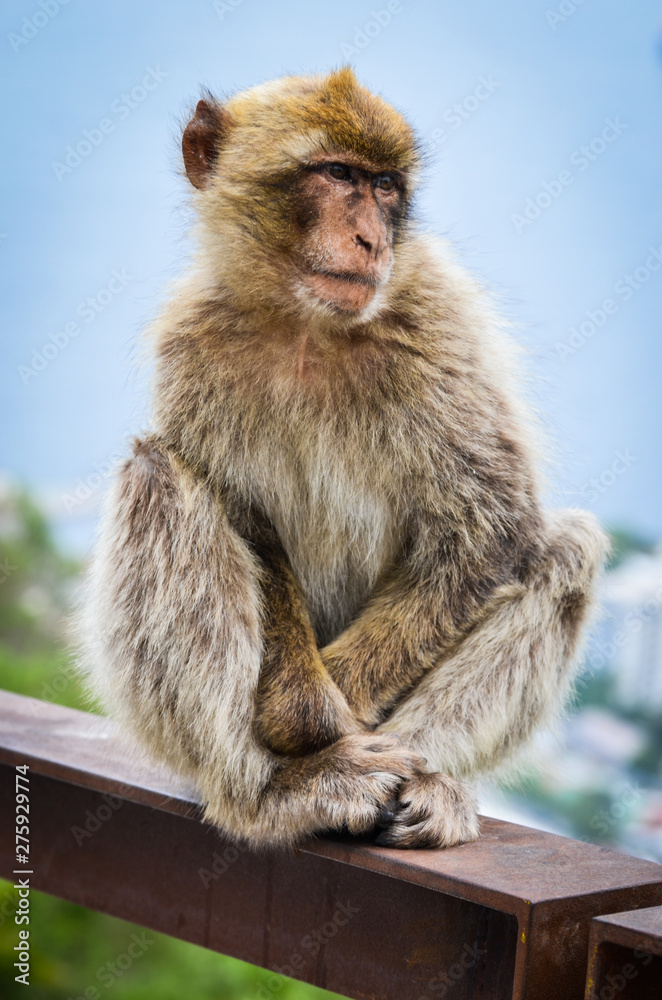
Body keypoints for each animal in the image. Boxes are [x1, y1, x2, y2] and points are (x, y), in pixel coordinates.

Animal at [77, 68, 608, 850]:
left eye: (385, 187)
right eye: (336, 175)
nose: (370, 239)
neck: (308, 324)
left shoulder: (437, 325)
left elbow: (489, 532)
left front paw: (335, 714)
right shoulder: (193, 343)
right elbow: (243, 515)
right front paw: (308, 718)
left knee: (564, 548)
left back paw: (425, 782)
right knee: (156, 476)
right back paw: (271, 793)